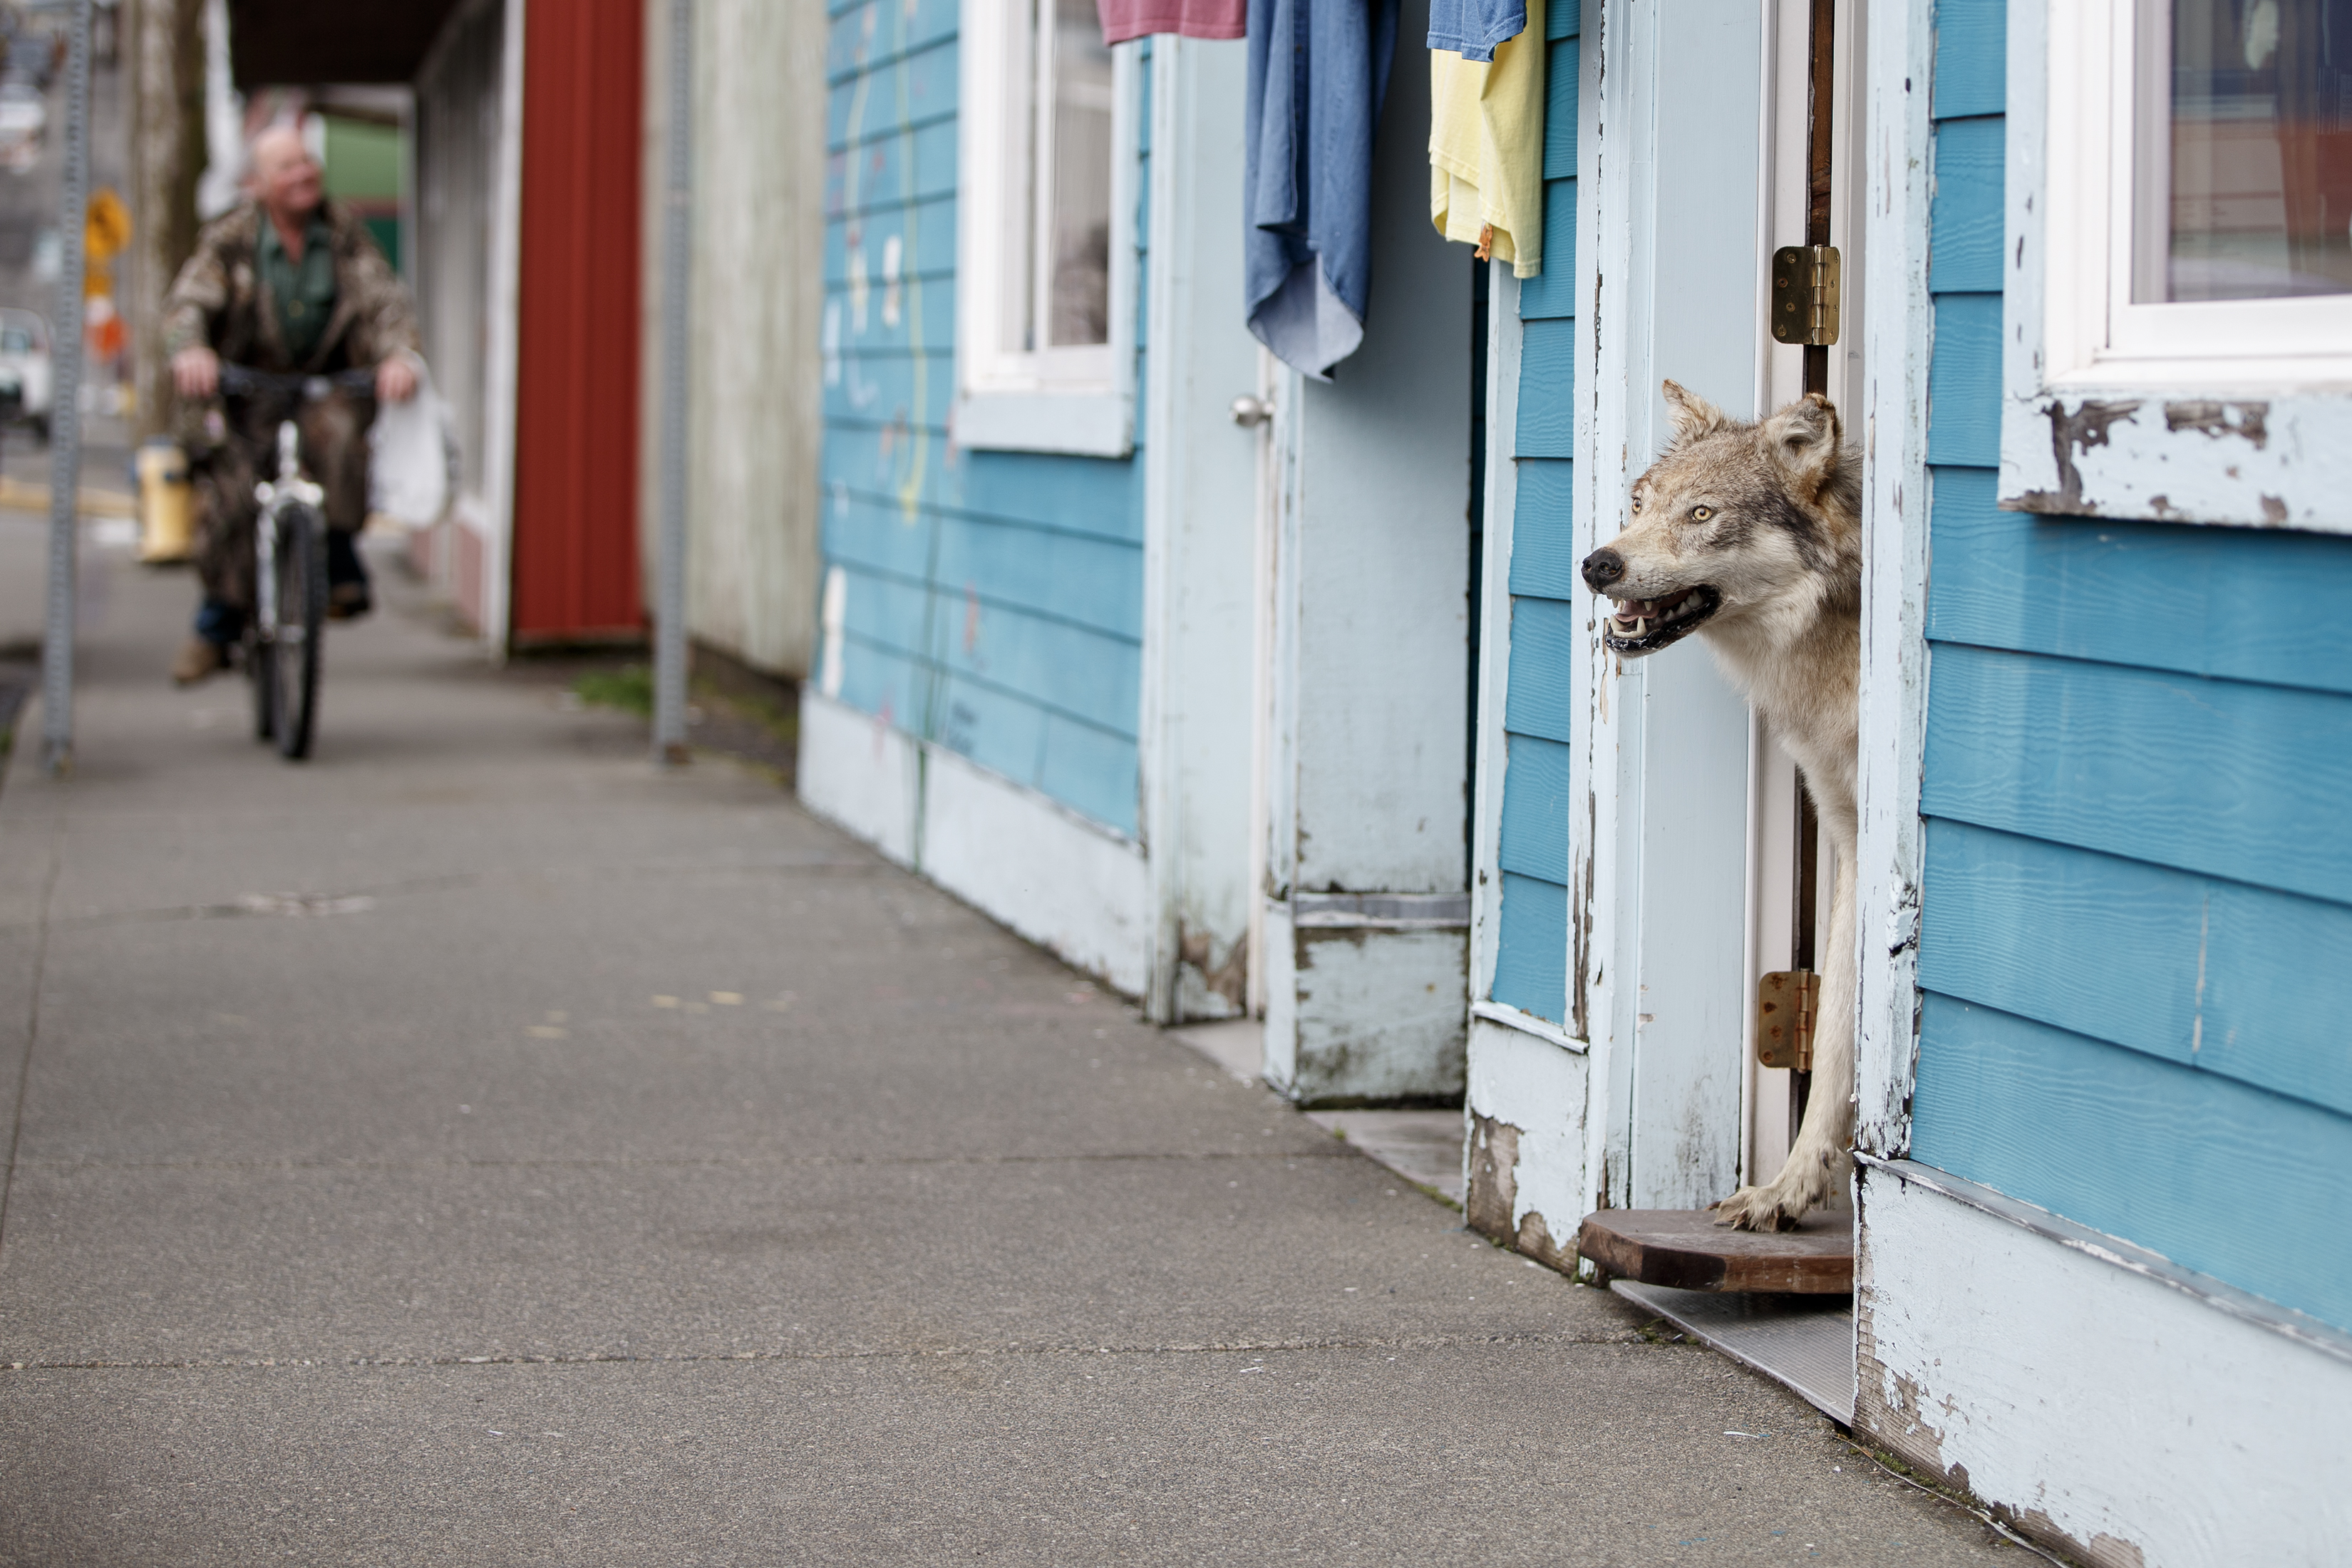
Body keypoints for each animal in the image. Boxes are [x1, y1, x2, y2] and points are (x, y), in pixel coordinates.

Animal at [1580, 381, 1861, 1231]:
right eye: (1640, 504)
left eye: (1702, 513)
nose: (1597, 564)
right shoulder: (1851, 841)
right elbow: (1835, 1033)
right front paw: (1790, 1188)